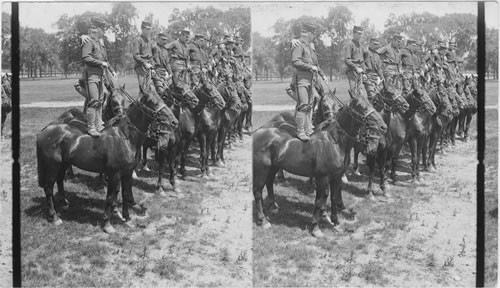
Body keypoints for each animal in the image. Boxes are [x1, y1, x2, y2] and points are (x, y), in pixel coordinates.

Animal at [35, 86, 176, 233]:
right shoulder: (114, 174)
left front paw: (127, 218)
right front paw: (107, 223)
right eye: (154, 102)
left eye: (162, 99)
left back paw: (63, 204)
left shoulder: (127, 173)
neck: (124, 137)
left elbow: (125, 194)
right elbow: (111, 198)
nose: (174, 121)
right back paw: (54, 217)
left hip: (62, 164)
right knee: (48, 188)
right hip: (53, 166)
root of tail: (45, 130)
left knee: (59, 181)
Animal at [254, 91, 386, 237]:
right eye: (362, 107)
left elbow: (333, 198)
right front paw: (315, 227)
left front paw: (336, 222)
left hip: (273, 167)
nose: (383, 126)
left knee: (269, 184)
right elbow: (318, 201)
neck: (334, 142)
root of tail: (258, 132)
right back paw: (263, 220)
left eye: (371, 103)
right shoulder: (322, 178)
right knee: (257, 192)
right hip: (261, 169)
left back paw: (272, 209)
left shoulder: (336, 177)